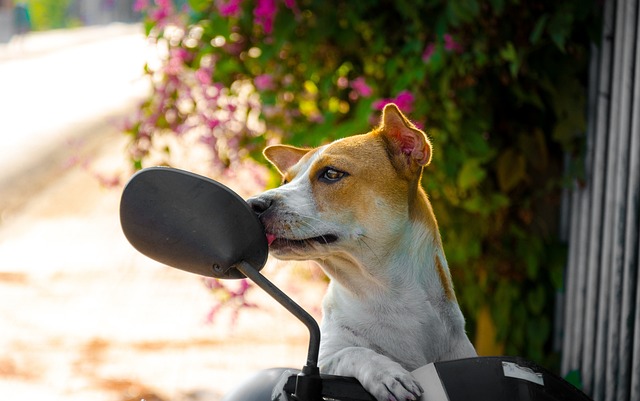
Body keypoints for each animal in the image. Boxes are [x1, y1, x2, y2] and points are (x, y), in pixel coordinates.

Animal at [248, 104, 478, 400]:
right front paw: (386, 373)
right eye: (286, 180)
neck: (389, 296)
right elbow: (351, 352)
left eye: (331, 174)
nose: (253, 204)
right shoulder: (328, 354)